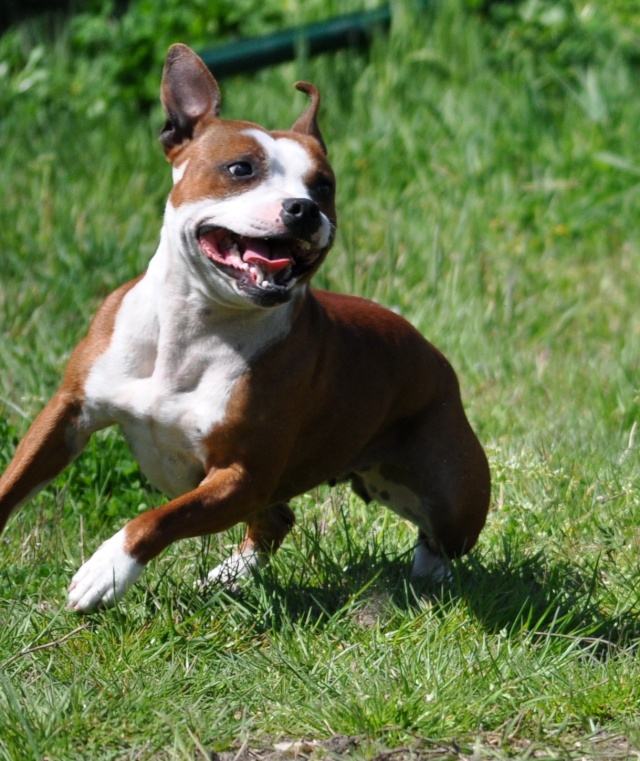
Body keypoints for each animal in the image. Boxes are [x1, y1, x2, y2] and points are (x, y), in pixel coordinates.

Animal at [0, 43, 490, 612]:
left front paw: (108, 568)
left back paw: (430, 578)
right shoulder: (68, 414)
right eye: (241, 168)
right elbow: (13, 484)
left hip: (455, 491)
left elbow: (157, 519)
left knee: (440, 538)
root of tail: (434, 355)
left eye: (324, 186)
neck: (196, 325)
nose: (304, 209)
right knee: (278, 518)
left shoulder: (241, 476)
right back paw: (230, 576)